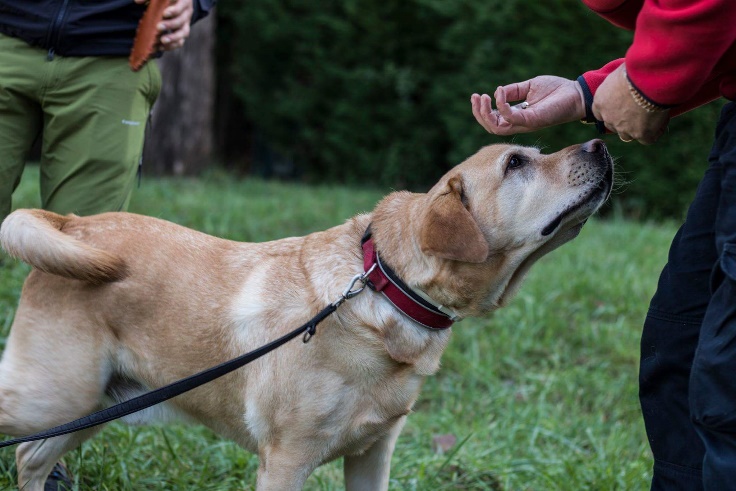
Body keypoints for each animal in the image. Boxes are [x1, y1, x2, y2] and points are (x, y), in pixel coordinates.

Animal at [0, 139, 608, 491]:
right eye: (516, 164)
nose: (600, 142)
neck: (382, 286)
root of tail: (73, 224)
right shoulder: (286, 460)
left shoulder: (373, 454)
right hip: (51, 397)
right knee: (24, 446)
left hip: (93, 405)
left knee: (30, 457)